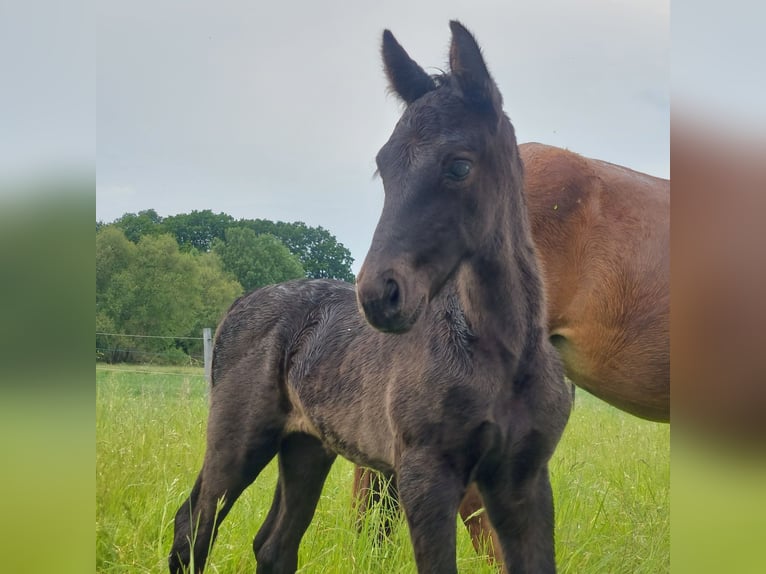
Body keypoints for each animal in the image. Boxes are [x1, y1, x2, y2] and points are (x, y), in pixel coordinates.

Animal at [168, 21, 572, 573]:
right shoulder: (425, 475)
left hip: (306, 446)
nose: (380, 294)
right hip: (238, 440)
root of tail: (239, 306)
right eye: (384, 165)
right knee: (193, 526)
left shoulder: (524, 480)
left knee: (273, 544)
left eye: (459, 166)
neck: (500, 353)